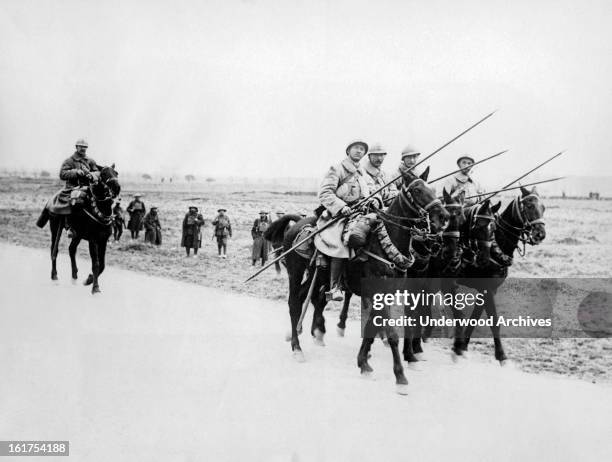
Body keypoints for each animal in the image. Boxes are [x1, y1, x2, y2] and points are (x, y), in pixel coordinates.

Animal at [268, 168, 450, 392]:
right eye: (417, 190)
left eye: (432, 189)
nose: (443, 217)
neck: (384, 244)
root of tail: (296, 225)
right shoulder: (379, 294)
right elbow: (391, 334)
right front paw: (400, 377)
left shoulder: (384, 295)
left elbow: (373, 327)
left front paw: (363, 363)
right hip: (295, 272)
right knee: (294, 304)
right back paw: (297, 348)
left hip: (316, 276)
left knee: (305, 297)